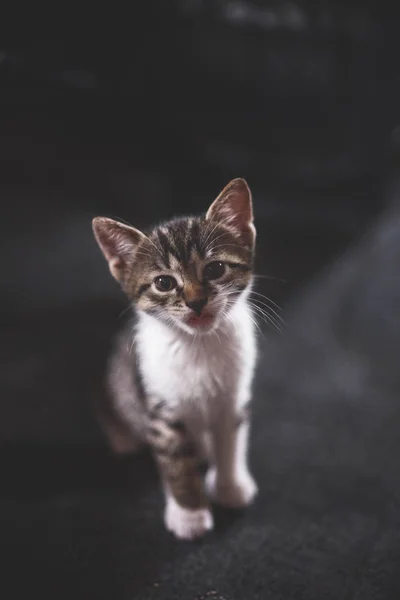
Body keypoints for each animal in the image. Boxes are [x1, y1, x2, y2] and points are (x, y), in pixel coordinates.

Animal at [92, 177, 258, 540]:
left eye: (215, 268)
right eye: (163, 282)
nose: (196, 302)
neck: (198, 345)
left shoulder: (234, 397)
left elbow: (231, 441)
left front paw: (229, 487)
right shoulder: (159, 409)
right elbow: (175, 462)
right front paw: (189, 514)